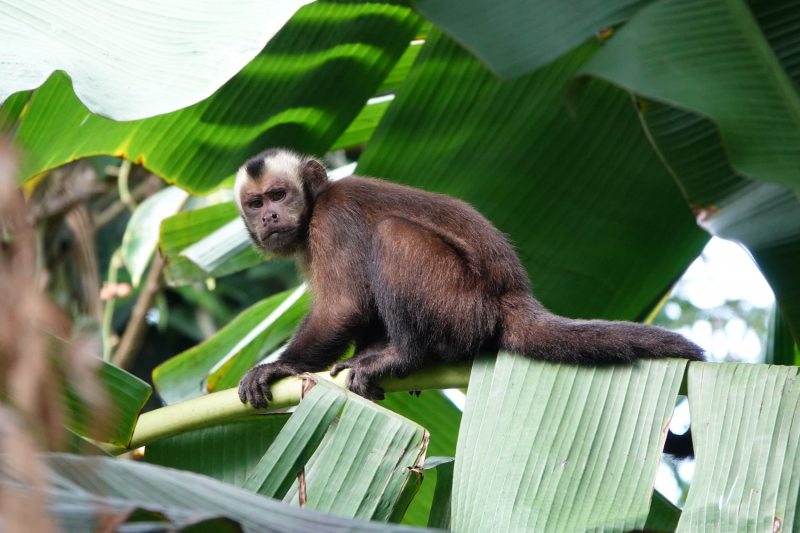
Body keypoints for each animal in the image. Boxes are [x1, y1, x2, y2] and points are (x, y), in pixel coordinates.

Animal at [234, 149, 704, 454]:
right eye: (255, 203)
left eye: (279, 195)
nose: (268, 217)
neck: (314, 207)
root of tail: (514, 296)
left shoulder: (333, 219)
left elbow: (345, 306)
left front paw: (280, 367)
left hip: (463, 305)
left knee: (391, 233)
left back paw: (405, 354)